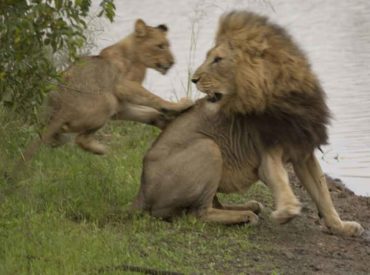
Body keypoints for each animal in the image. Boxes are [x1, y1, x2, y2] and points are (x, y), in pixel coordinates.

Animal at [26, 18, 191, 157]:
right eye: (160, 46)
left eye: (167, 45)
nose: (172, 62)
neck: (136, 59)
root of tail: (62, 109)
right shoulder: (123, 86)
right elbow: (153, 97)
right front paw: (179, 105)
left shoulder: (122, 104)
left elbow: (147, 112)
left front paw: (167, 119)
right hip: (107, 101)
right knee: (80, 138)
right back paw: (103, 150)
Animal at [133, 10, 364, 237]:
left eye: (218, 59)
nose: (194, 79)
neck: (284, 95)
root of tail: (141, 193)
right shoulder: (267, 151)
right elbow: (280, 179)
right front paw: (286, 212)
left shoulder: (303, 149)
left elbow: (323, 194)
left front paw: (341, 226)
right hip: (209, 147)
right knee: (198, 213)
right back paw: (245, 216)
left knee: (212, 205)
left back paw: (249, 207)